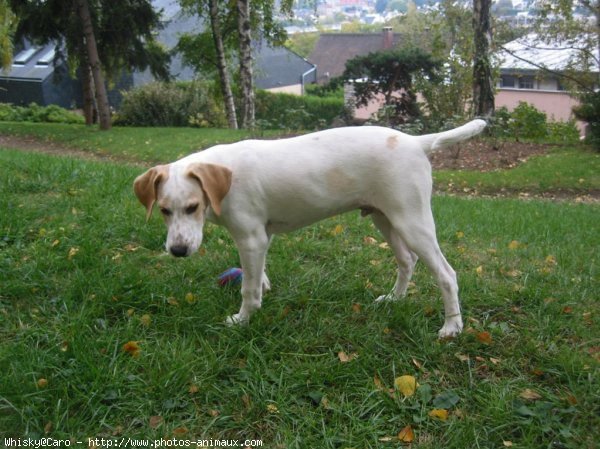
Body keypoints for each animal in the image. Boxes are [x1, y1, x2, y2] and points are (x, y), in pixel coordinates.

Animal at [134, 119, 486, 336]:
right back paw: (393, 299)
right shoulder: (261, 238)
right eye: (164, 210)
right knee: (407, 261)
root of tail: (415, 141)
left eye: (193, 207)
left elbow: (248, 288)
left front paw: (243, 319)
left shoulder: (250, 238)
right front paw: (262, 289)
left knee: (446, 274)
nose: (178, 251)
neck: (226, 176)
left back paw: (452, 327)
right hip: (385, 218)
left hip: (412, 222)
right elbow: (256, 275)